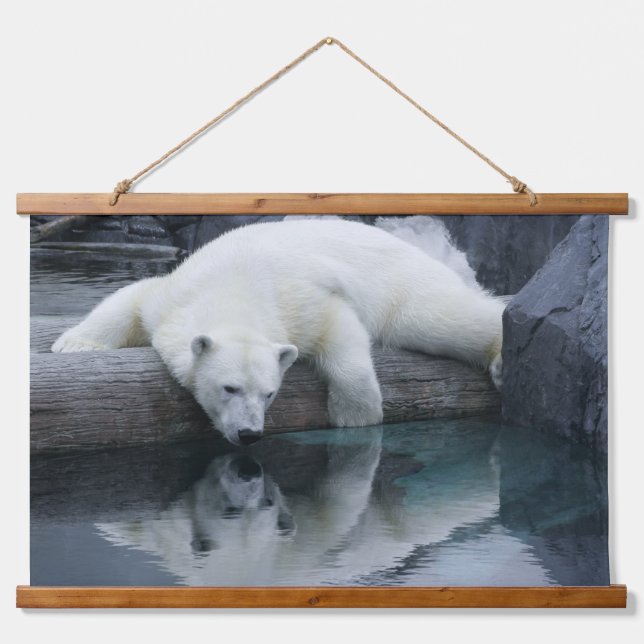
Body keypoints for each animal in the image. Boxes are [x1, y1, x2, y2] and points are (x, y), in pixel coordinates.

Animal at [52, 218, 504, 446]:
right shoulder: (174, 297)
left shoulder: (300, 297)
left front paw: (355, 414)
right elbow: (129, 299)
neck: (234, 285)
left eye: (270, 394)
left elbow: (339, 328)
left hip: (404, 284)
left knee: (439, 317)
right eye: (230, 388)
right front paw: (73, 345)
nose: (250, 433)